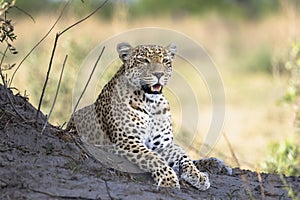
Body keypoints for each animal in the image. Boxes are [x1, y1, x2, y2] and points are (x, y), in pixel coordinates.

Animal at [67, 42, 232, 191]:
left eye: (165, 61)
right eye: (144, 61)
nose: (159, 74)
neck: (151, 102)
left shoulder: (162, 145)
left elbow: (182, 155)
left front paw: (197, 175)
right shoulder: (127, 141)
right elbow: (153, 158)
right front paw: (168, 179)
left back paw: (217, 164)